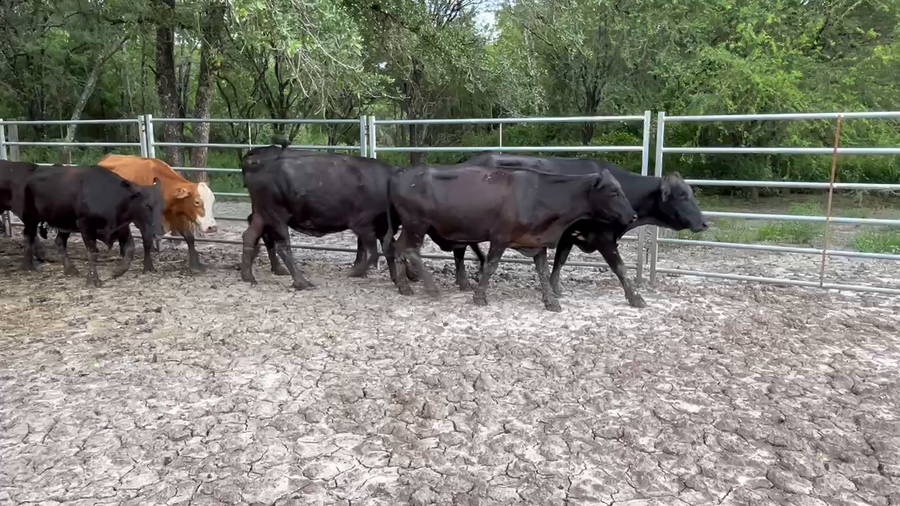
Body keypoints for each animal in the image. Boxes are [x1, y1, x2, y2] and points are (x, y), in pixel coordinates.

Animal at [20, 165, 165, 287]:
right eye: (146, 205)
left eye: (162, 205)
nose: (159, 233)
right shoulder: (86, 228)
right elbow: (92, 253)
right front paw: (93, 279)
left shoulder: (122, 228)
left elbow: (130, 249)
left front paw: (117, 271)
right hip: (31, 217)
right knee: (29, 237)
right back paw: (28, 265)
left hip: (64, 222)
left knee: (60, 242)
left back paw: (70, 269)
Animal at [388, 164, 637, 311]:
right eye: (613, 192)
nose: (632, 215)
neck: (538, 195)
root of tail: (400, 175)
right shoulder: (500, 237)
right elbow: (490, 266)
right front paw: (480, 297)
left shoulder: (537, 241)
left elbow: (543, 272)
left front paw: (551, 301)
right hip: (417, 224)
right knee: (409, 249)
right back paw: (431, 288)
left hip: (411, 226)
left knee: (398, 247)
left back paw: (404, 286)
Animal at [466, 152, 708, 307]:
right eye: (682, 195)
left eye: (690, 193)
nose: (705, 222)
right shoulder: (603, 238)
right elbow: (620, 267)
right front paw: (635, 298)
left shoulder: (569, 236)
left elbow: (560, 261)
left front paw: (555, 288)